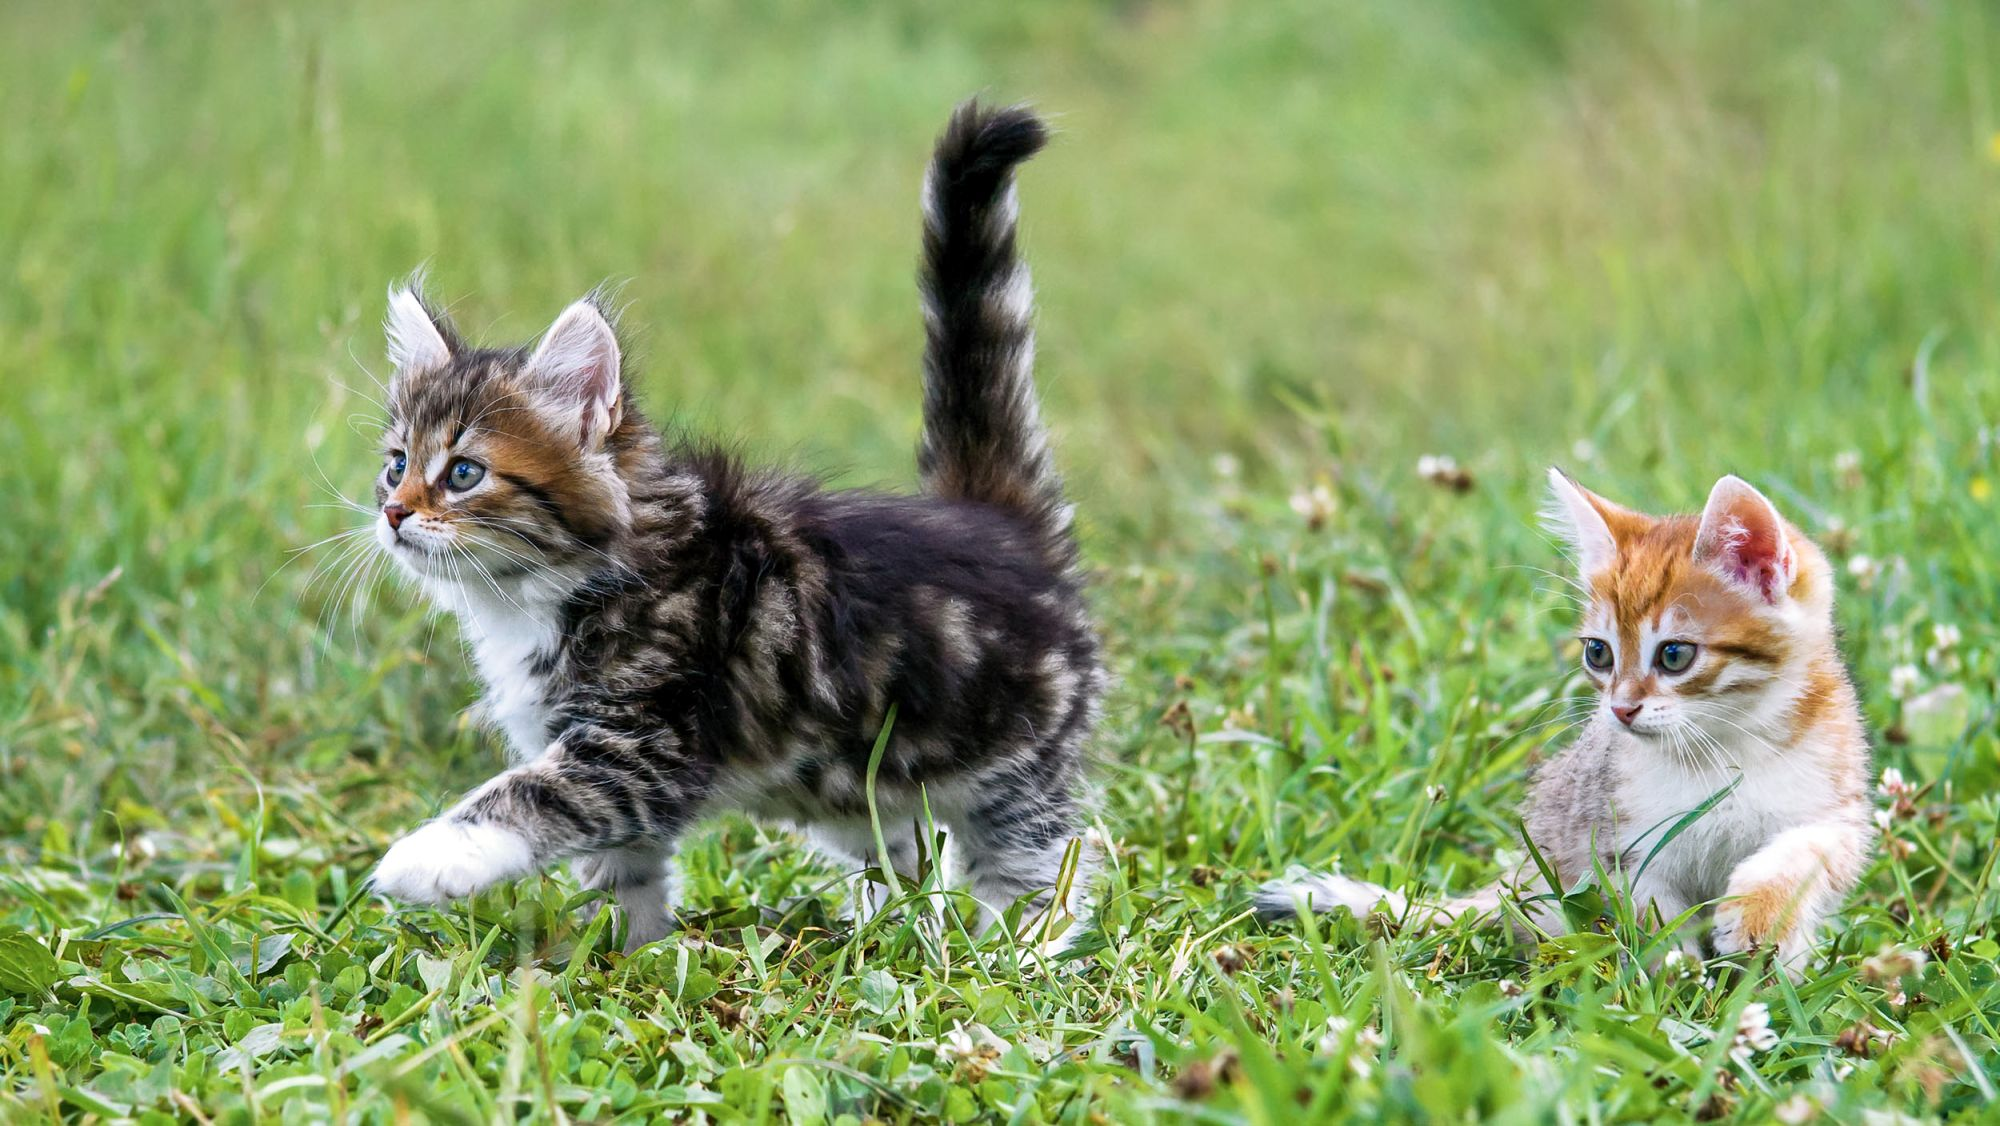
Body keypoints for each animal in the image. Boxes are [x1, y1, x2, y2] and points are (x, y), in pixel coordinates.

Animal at [368, 103, 1104, 952]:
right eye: (395, 465)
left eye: (463, 473)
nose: (393, 513)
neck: (538, 595)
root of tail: (991, 517)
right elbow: (619, 874)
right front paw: (619, 955)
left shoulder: (644, 743)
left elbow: (532, 794)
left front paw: (428, 858)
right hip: (858, 777)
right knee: (902, 853)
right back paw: (881, 938)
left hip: (1016, 761)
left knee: (1041, 859)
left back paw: (1016, 952)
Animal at [1256, 472, 1880, 972]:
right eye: (1598, 653)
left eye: (1675, 655)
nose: (1620, 710)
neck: (1723, 744)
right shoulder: (1623, 842)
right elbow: (1652, 916)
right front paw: (1673, 981)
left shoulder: (1838, 807)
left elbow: (1811, 850)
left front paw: (1759, 916)